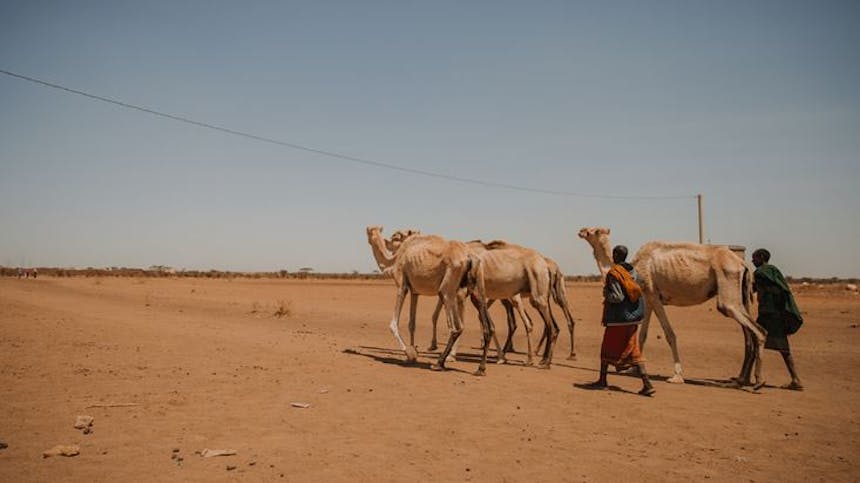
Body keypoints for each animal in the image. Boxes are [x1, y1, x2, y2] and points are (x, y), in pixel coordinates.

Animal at [366, 227, 494, 374]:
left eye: (395, 237)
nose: (369, 231)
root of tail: (470, 256)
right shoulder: (415, 291)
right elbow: (412, 324)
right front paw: (413, 352)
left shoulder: (401, 284)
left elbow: (393, 324)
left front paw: (409, 353)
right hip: (477, 285)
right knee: (487, 323)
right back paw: (481, 368)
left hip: (448, 286)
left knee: (456, 327)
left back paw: (439, 363)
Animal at [576, 228, 764, 390]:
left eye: (593, 231)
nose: (581, 231)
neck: (634, 264)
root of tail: (741, 262)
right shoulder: (647, 298)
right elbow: (642, 335)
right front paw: (634, 368)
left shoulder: (653, 295)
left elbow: (669, 334)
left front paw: (677, 376)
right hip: (741, 294)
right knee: (749, 336)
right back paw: (741, 380)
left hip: (728, 287)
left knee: (757, 330)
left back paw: (758, 382)